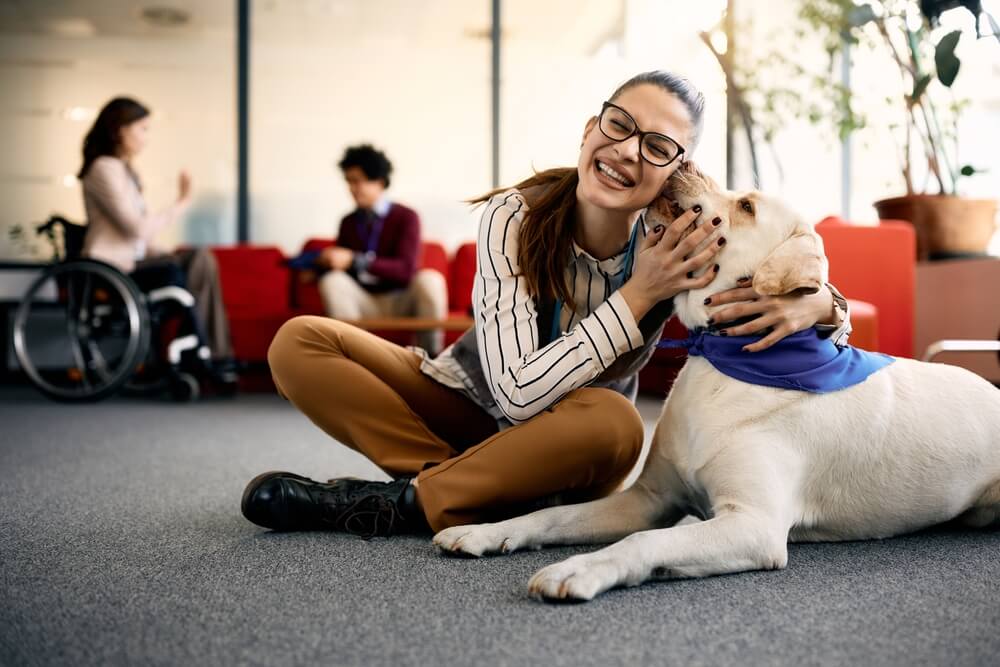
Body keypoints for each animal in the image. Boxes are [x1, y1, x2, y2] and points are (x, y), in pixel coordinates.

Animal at [434, 163, 1000, 604]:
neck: (722, 360)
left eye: (746, 205)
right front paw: (487, 531)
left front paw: (578, 570)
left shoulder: (752, 524)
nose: (683, 162)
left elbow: (641, 544)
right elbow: (553, 517)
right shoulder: (650, 499)